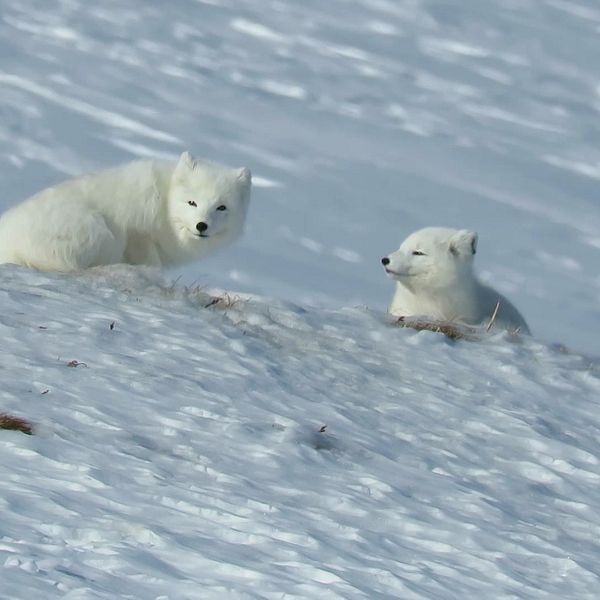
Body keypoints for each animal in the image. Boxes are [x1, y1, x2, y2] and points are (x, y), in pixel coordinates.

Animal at [0, 151, 251, 270]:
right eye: (192, 203)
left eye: (221, 207)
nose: (202, 225)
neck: (165, 205)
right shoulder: (138, 235)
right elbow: (149, 263)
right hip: (101, 232)